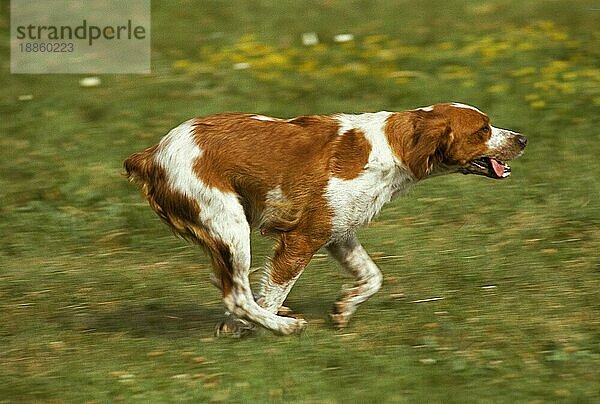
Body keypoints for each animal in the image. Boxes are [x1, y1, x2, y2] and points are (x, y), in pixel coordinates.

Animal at [124, 103, 528, 334]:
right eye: (483, 129)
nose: (523, 138)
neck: (390, 147)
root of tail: (150, 153)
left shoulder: (338, 232)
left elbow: (373, 276)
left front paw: (343, 309)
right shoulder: (303, 237)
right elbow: (272, 290)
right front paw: (243, 329)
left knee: (229, 283)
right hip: (230, 224)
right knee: (236, 295)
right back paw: (282, 326)